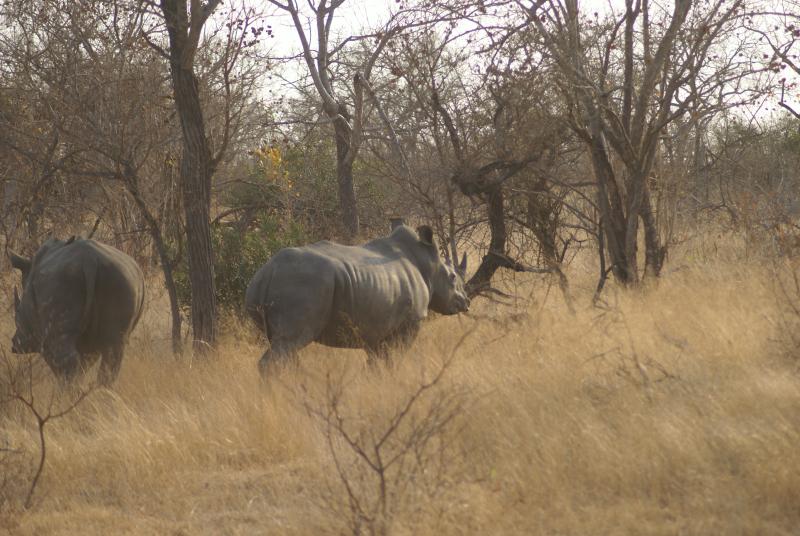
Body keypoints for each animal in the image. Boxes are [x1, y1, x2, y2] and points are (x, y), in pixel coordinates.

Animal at [9, 236, 145, 385]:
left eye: (18, 314)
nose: (14, 344)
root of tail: (90, 261)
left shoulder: (41, 334)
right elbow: (86, 362)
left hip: (60, 281)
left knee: (64, 354)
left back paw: (68, 390)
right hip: (123, 279)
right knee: (113, 350)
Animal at [245, 224, 470, 375]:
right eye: (452, 277)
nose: (466, 302)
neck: (427, 262)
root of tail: (267, 272)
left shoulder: (375, 328)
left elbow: (376, 362)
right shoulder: (411, 323)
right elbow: (395, 358)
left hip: (268, 288)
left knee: (285, 348)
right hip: (302, 283)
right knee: (290, 343)